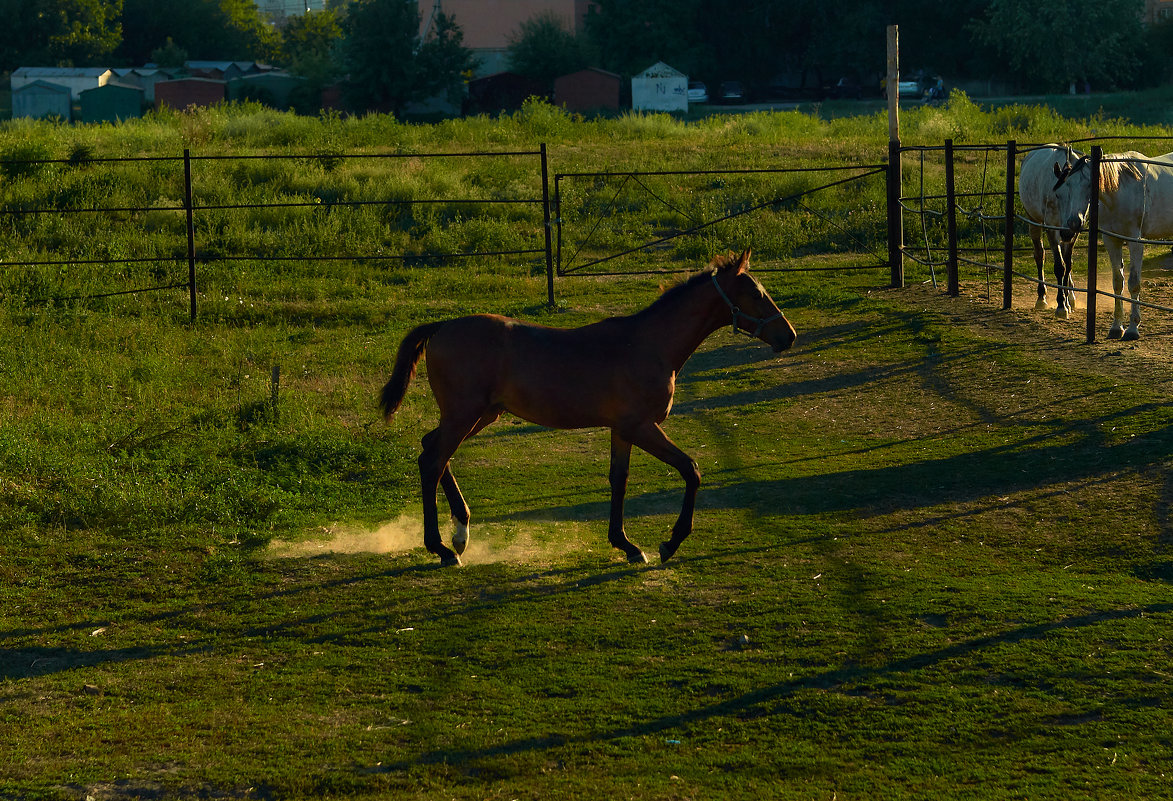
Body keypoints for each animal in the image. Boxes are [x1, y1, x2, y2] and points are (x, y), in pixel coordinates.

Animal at [1018, 145, 1079, 314]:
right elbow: (1059, 266)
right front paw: (1061, 305)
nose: (1067, 231)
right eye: (1057, 194)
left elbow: (1068, 264)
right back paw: (1041, 298)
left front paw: (1067, 300)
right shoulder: (1052, 228)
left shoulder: (1075, 232)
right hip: (1034, 221)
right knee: (1040, 255)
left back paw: (1071, 297)